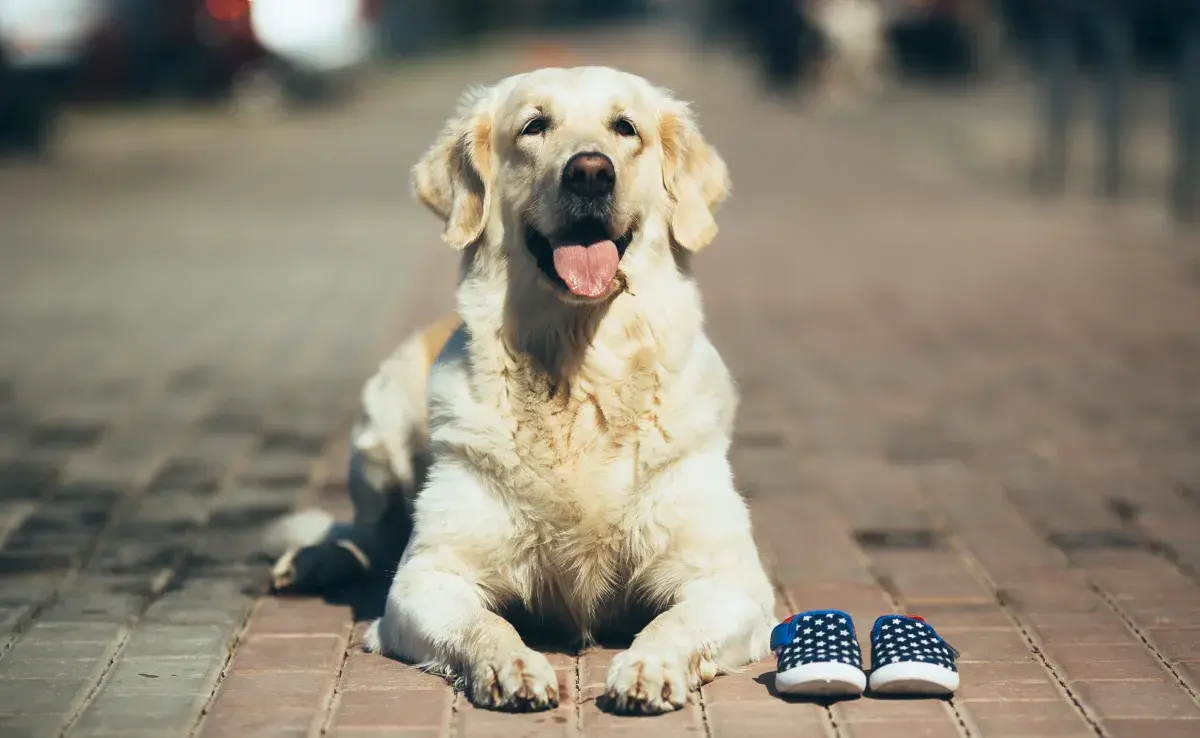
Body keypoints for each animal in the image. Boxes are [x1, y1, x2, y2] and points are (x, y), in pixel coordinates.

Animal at [265, 66, 777, 715]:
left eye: (625, 127)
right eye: (535, 126)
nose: (591, 171)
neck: (580, 379)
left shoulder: (730, 579)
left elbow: (673, 622)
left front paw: (648, 667)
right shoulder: (426, 578)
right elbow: (483, 624)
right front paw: (511, 668)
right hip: (379, 431)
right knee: (365, 532)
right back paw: (311, 560)